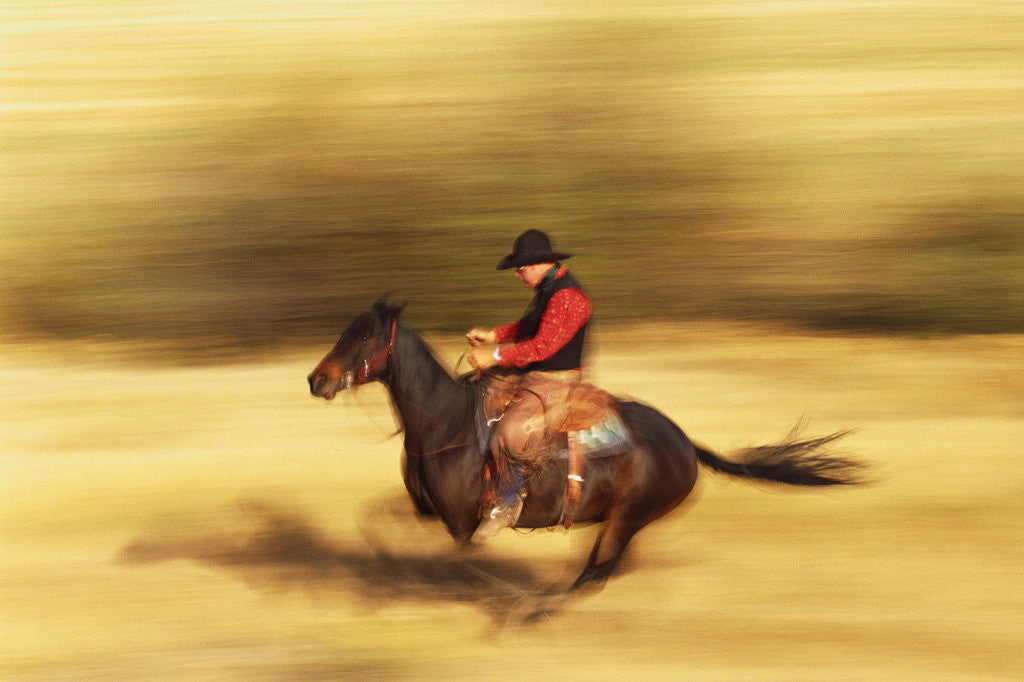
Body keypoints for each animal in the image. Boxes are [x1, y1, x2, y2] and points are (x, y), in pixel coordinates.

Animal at [307, 299, 866, 591]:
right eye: (347, 331)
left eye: (364, 338)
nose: (317, 379)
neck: (447, 425)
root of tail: (686, 444)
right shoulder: (426, 511)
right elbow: (375, 521)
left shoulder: (462, 523)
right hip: (620, 521)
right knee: (604, 570)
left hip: (626, 516)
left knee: (595, 573)